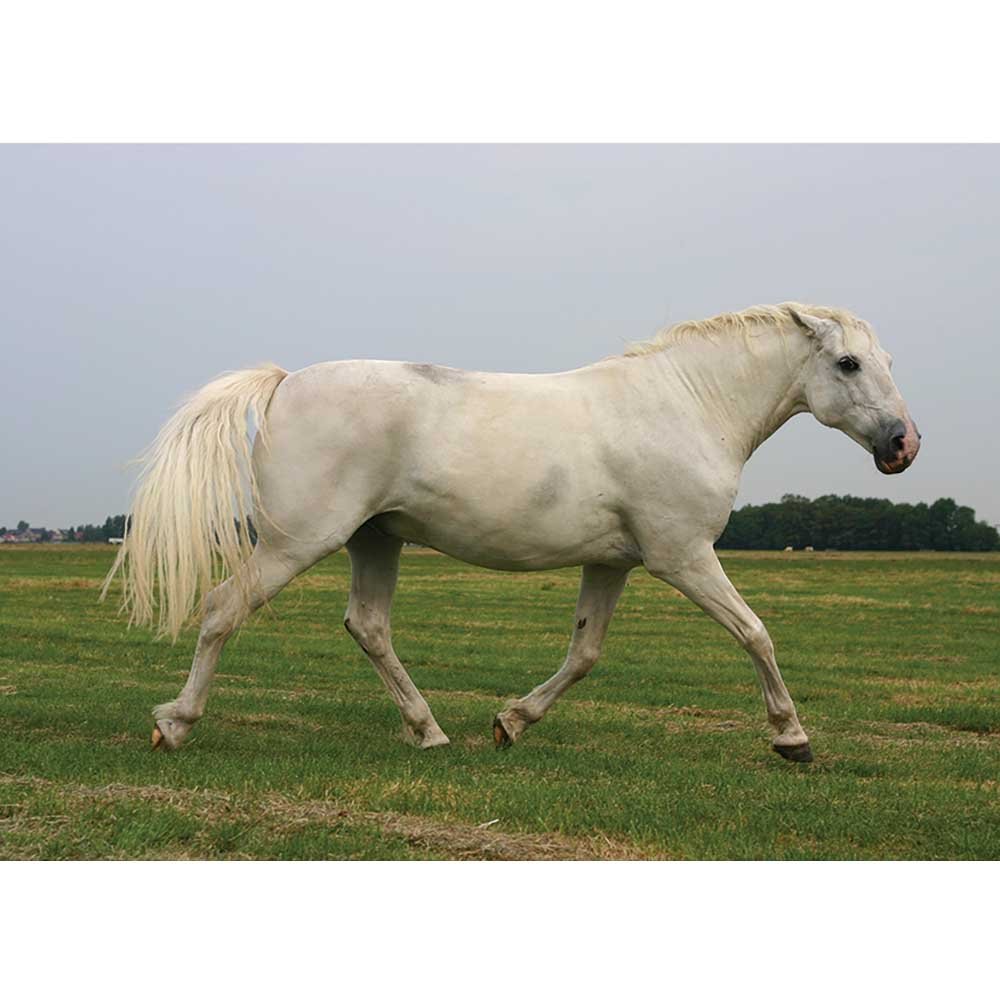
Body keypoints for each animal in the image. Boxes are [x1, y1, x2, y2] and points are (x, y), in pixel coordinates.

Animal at [103, 303, 921, 763]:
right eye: (848, 363)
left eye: (887, 360)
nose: (902, 445)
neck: (685, 405)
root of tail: (285, 382)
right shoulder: (683, 557)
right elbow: (755, 633)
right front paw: (792, 739)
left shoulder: (613, 564)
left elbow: (585, 654)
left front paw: (511, 723)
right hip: (297, 542)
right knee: (223, 610)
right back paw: (174, 726)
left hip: (376, 540)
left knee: (368, 626)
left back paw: (430, 733)